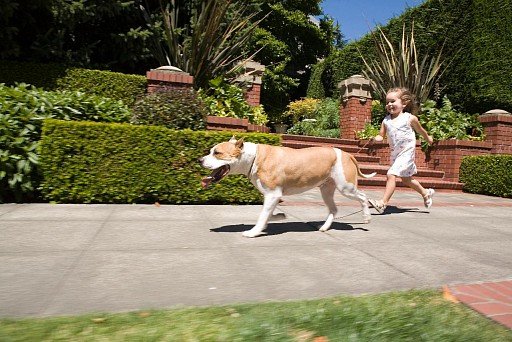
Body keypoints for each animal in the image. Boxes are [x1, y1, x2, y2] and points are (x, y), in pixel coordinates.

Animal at [200, 137, 376, 238]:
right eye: (211, 151)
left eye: (217, 153)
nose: (199, 160)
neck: (254, 158)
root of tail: (347, 154)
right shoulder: (273, 196)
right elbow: (267, 214)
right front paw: (278, 217)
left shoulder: (272, 194)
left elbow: (262, 215)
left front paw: (253, 232)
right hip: (326, 190)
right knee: (334, 209)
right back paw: (324, 227)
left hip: (346, 187)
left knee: (363, 197)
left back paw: (367, 217)